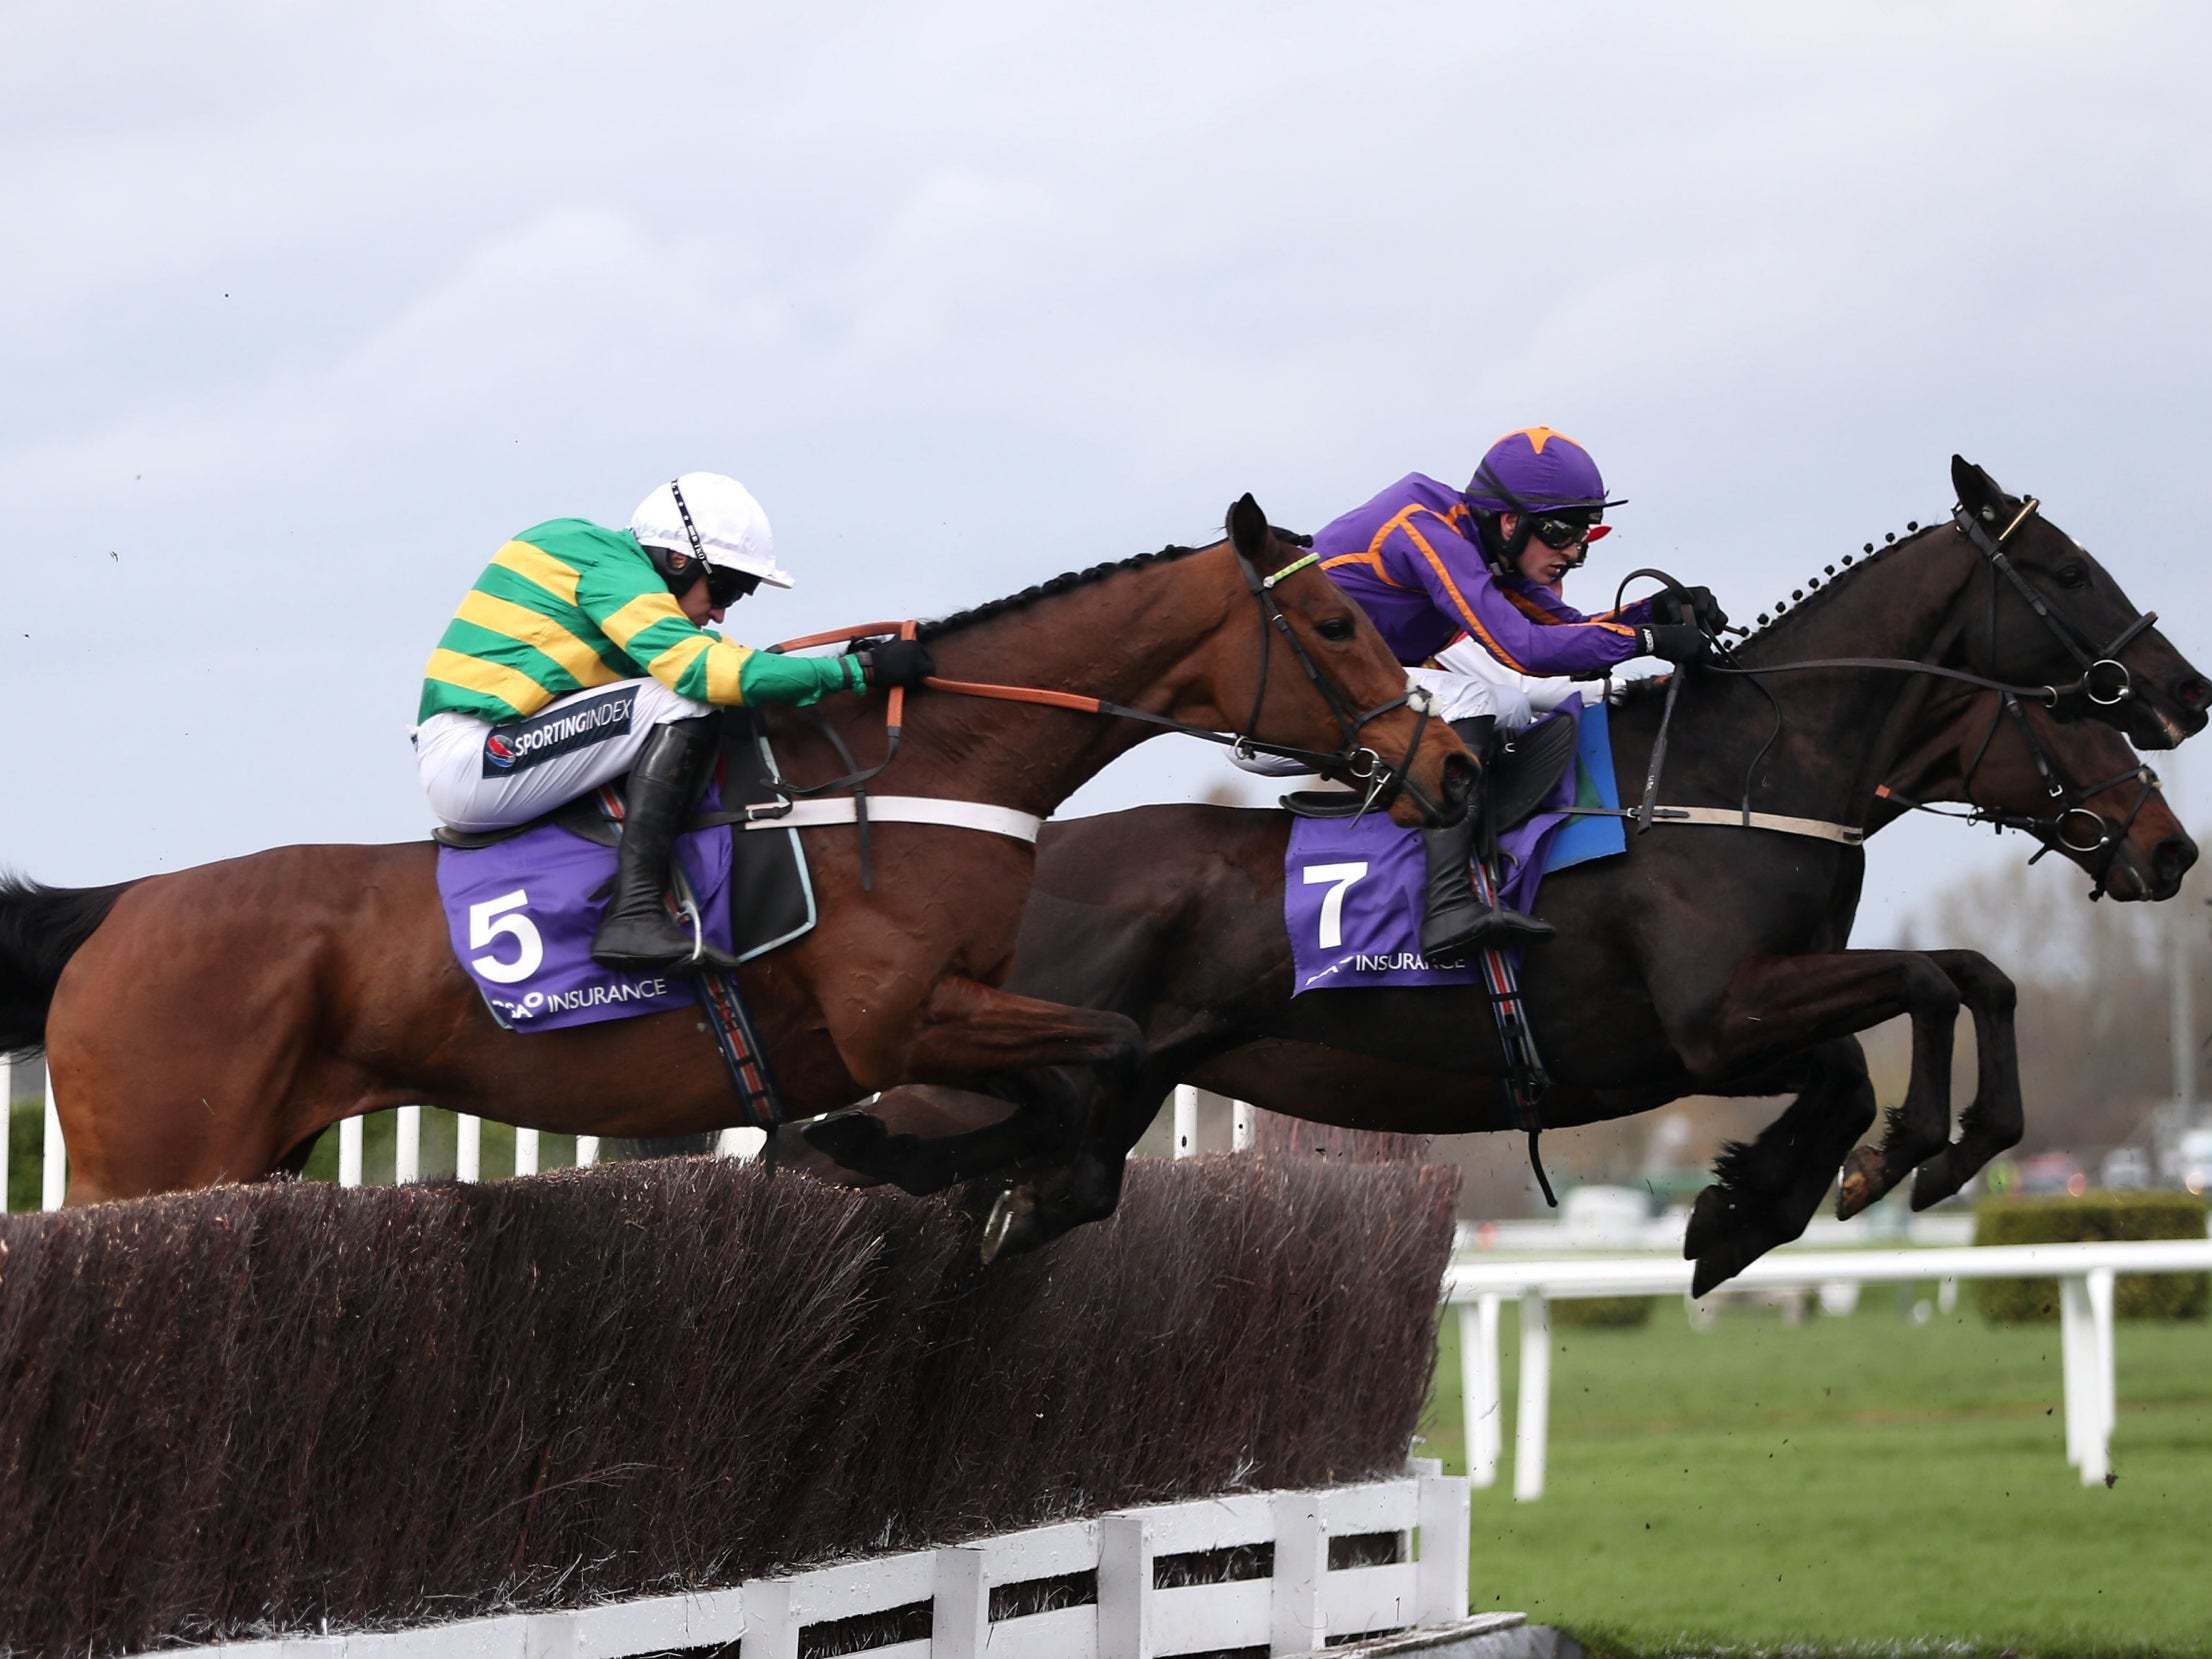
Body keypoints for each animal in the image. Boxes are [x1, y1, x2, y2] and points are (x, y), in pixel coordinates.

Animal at [12, 497, 1486, 1212]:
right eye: (1342, 625)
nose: (1453, 768)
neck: (928, 776)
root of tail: (119, 908)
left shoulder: (968, 1009)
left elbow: (1090, 1058)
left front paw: (936, 1161)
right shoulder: (903, 1017)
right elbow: (1110, 1048)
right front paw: (963, 1168)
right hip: (157, 1156)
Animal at [791, 462, 2194, 1291]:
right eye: (2067, 573)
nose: (2187, 700)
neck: (1742, 772)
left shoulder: (1712, 1035)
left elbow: (1917, 1014)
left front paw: (1765, 1201)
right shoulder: (1715, 1019)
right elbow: (1940, 980)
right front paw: (1913, 1153)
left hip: (1103, 1084)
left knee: (1036, 1177)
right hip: (966, 1068)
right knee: (822, 1160)